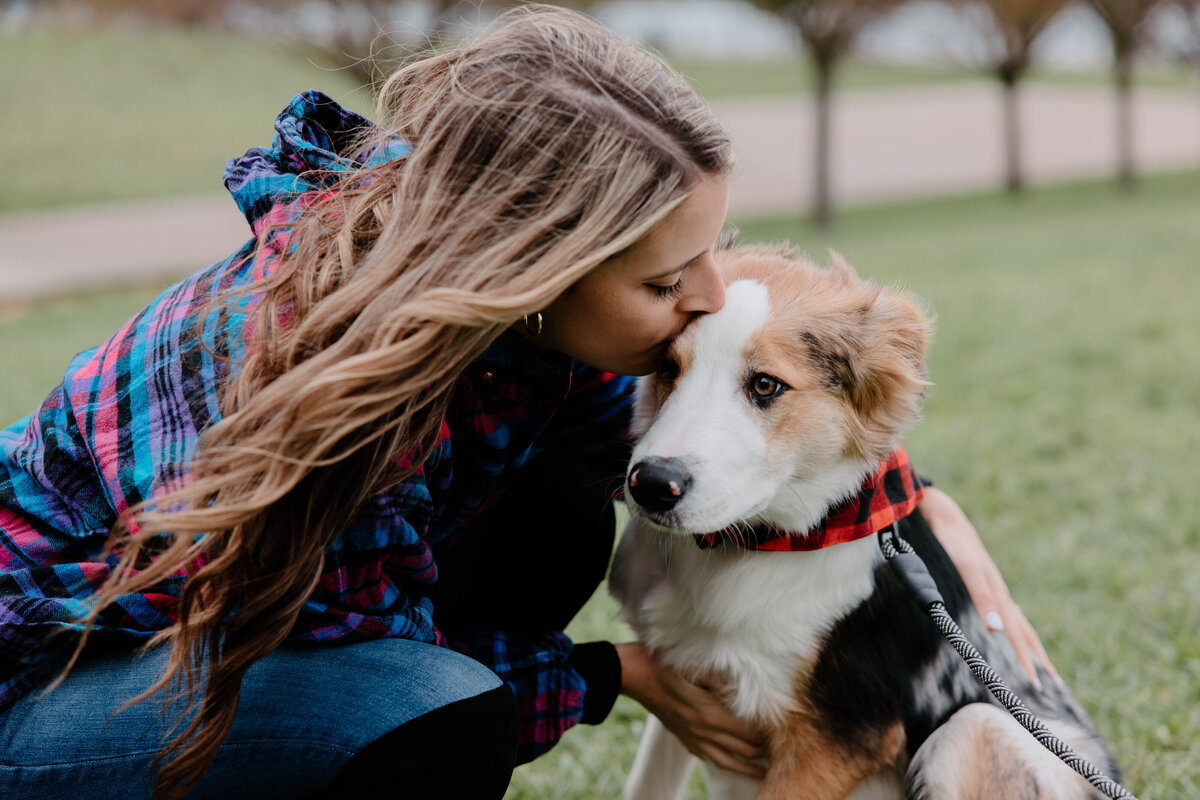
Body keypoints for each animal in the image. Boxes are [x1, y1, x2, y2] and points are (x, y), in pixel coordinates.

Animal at [614, 245, 1118, 800]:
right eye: (668, 366)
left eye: (765, 385)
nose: (652, 483)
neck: (766, 547)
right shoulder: (681, 683)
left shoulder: (839, 733)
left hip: (972, 730)